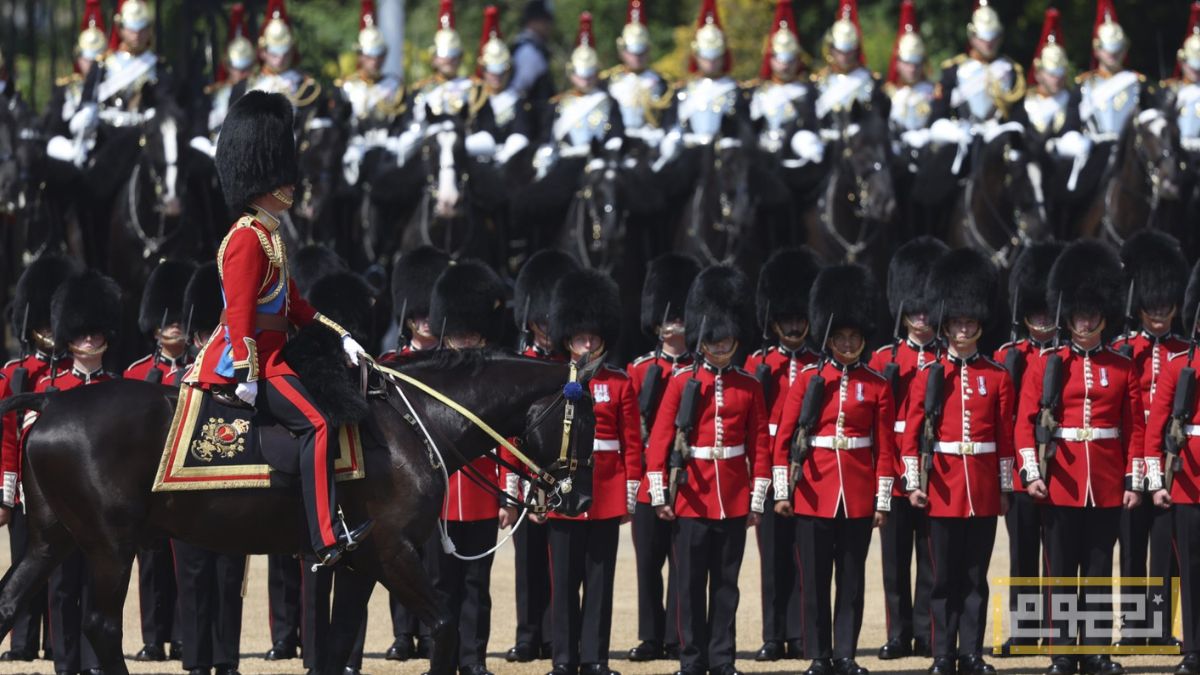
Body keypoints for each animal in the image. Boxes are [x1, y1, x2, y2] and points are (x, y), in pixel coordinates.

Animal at [0, 348, 600, 672]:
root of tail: (51, 400)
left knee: (9, 602)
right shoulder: (396, 552)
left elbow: (335, 644)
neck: (413, 425)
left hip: (54, 538)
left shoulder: (363, 562)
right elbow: (445, 623)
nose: (581, 501)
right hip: (110, 545)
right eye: (589, 421)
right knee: (101, 625)